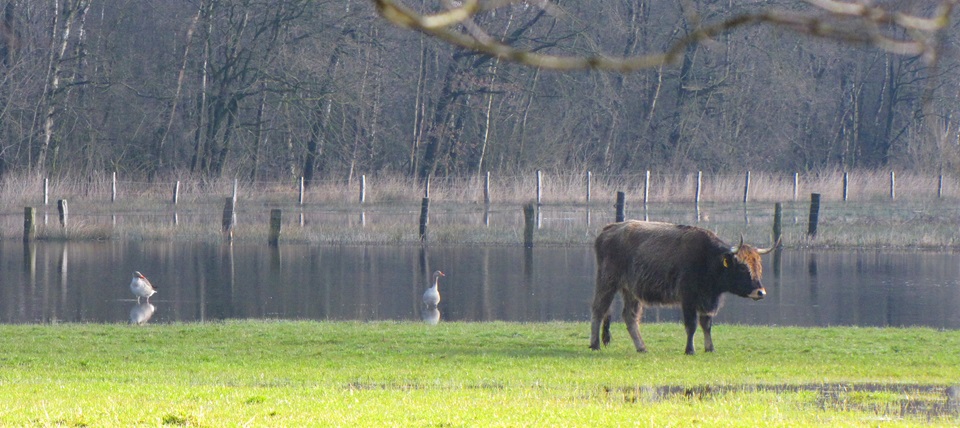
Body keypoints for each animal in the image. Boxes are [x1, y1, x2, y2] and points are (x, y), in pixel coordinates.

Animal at [588, 221, 776, 354]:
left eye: (758, 267)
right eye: (743, 267)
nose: (761, 292)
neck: (708, 257)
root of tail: (608, 229)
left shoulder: (707, 300)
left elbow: (706, 324)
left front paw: (710, 348)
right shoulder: (688, 299)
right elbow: (691, 325)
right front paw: (690, 350)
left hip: (631, 292)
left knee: (630, 316)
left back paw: (642, 347)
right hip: (607, 282)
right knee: (599, 309)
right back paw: (595, 344)